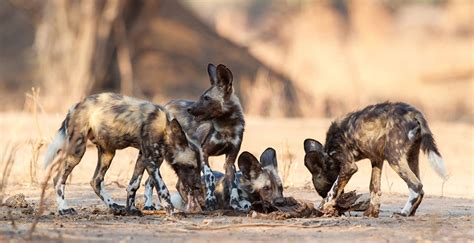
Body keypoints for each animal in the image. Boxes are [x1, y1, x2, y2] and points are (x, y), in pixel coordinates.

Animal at [45, 93, 206, 216]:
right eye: (190, 167)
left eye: (199, 168)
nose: (198, 186)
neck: (165, 129)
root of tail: (75, 106)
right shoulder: (151, 162)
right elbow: (163, 189)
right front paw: (173, 211)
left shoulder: (144, 158)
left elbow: (134, 184)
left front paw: (132, 209)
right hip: (77, 151)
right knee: (58, 179)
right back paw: (64, 209)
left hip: (108, 153)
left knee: (96, 181)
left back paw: (114, 207)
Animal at [143, 64, 248, 211]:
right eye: (201, 97)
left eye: (206, 98)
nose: (190, 109)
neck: (227, 127)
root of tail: (167, 105)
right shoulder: (204, 153)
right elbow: (210, 176)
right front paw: (210, 201)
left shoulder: (230, 160)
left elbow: (232, 185)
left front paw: (235, 205)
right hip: (163, 156)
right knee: (149, 181)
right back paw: (149, 205)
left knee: (180, 184)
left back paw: (192, 206)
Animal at [304, 101, 448, 217]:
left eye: (322, 190)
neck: (329, 156)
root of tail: (412, 112)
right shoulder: (377, 160)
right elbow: (374, 187)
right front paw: (372, 213)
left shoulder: (349, 166)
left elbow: (333, 190)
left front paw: (323, 207)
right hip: (411, 157)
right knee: (420, 187)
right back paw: (411, 213)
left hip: (394, 158)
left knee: (416, 185)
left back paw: (403, 213)